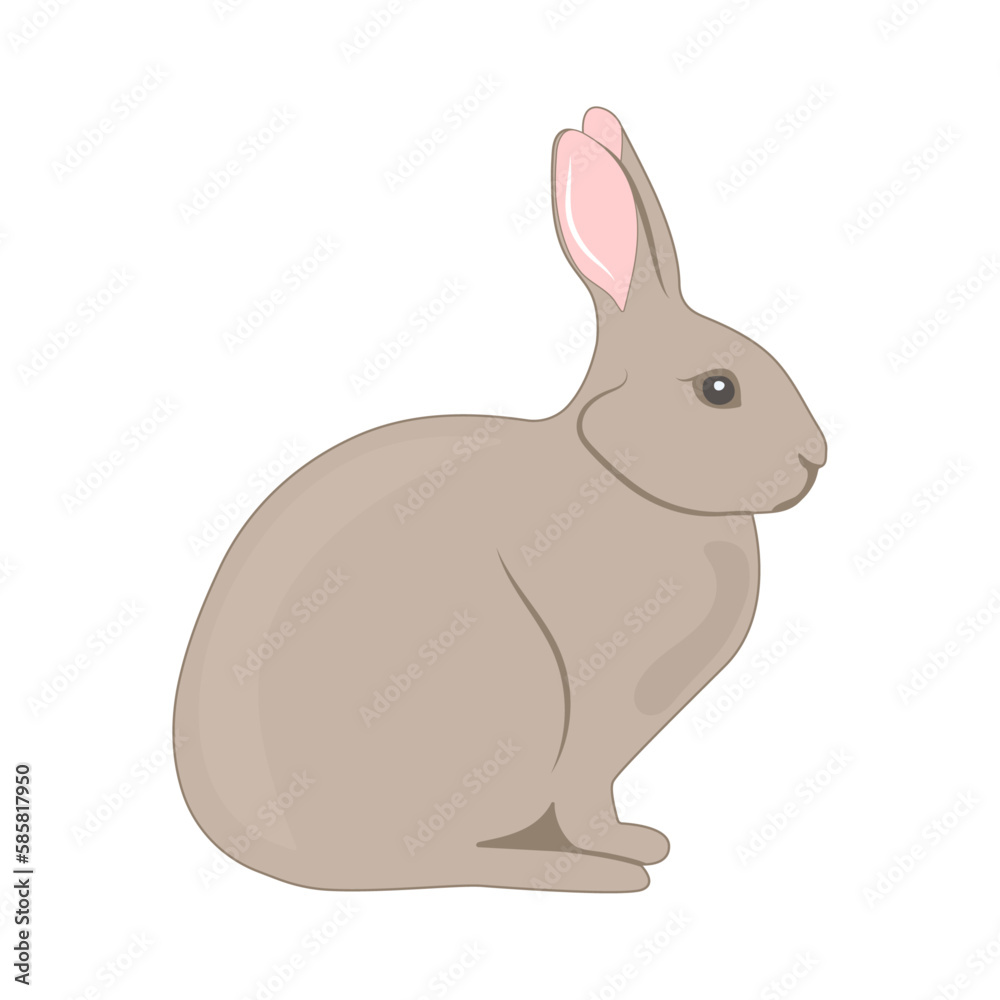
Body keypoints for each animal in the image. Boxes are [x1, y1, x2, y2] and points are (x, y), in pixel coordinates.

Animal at [173, 106, 826, 893]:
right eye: (718, 389)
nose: (816, 458)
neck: (616, 467)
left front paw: (640, 841)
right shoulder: (596, 710)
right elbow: (584, 797)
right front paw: (625, 850)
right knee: (444, 858)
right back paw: (589, 876)